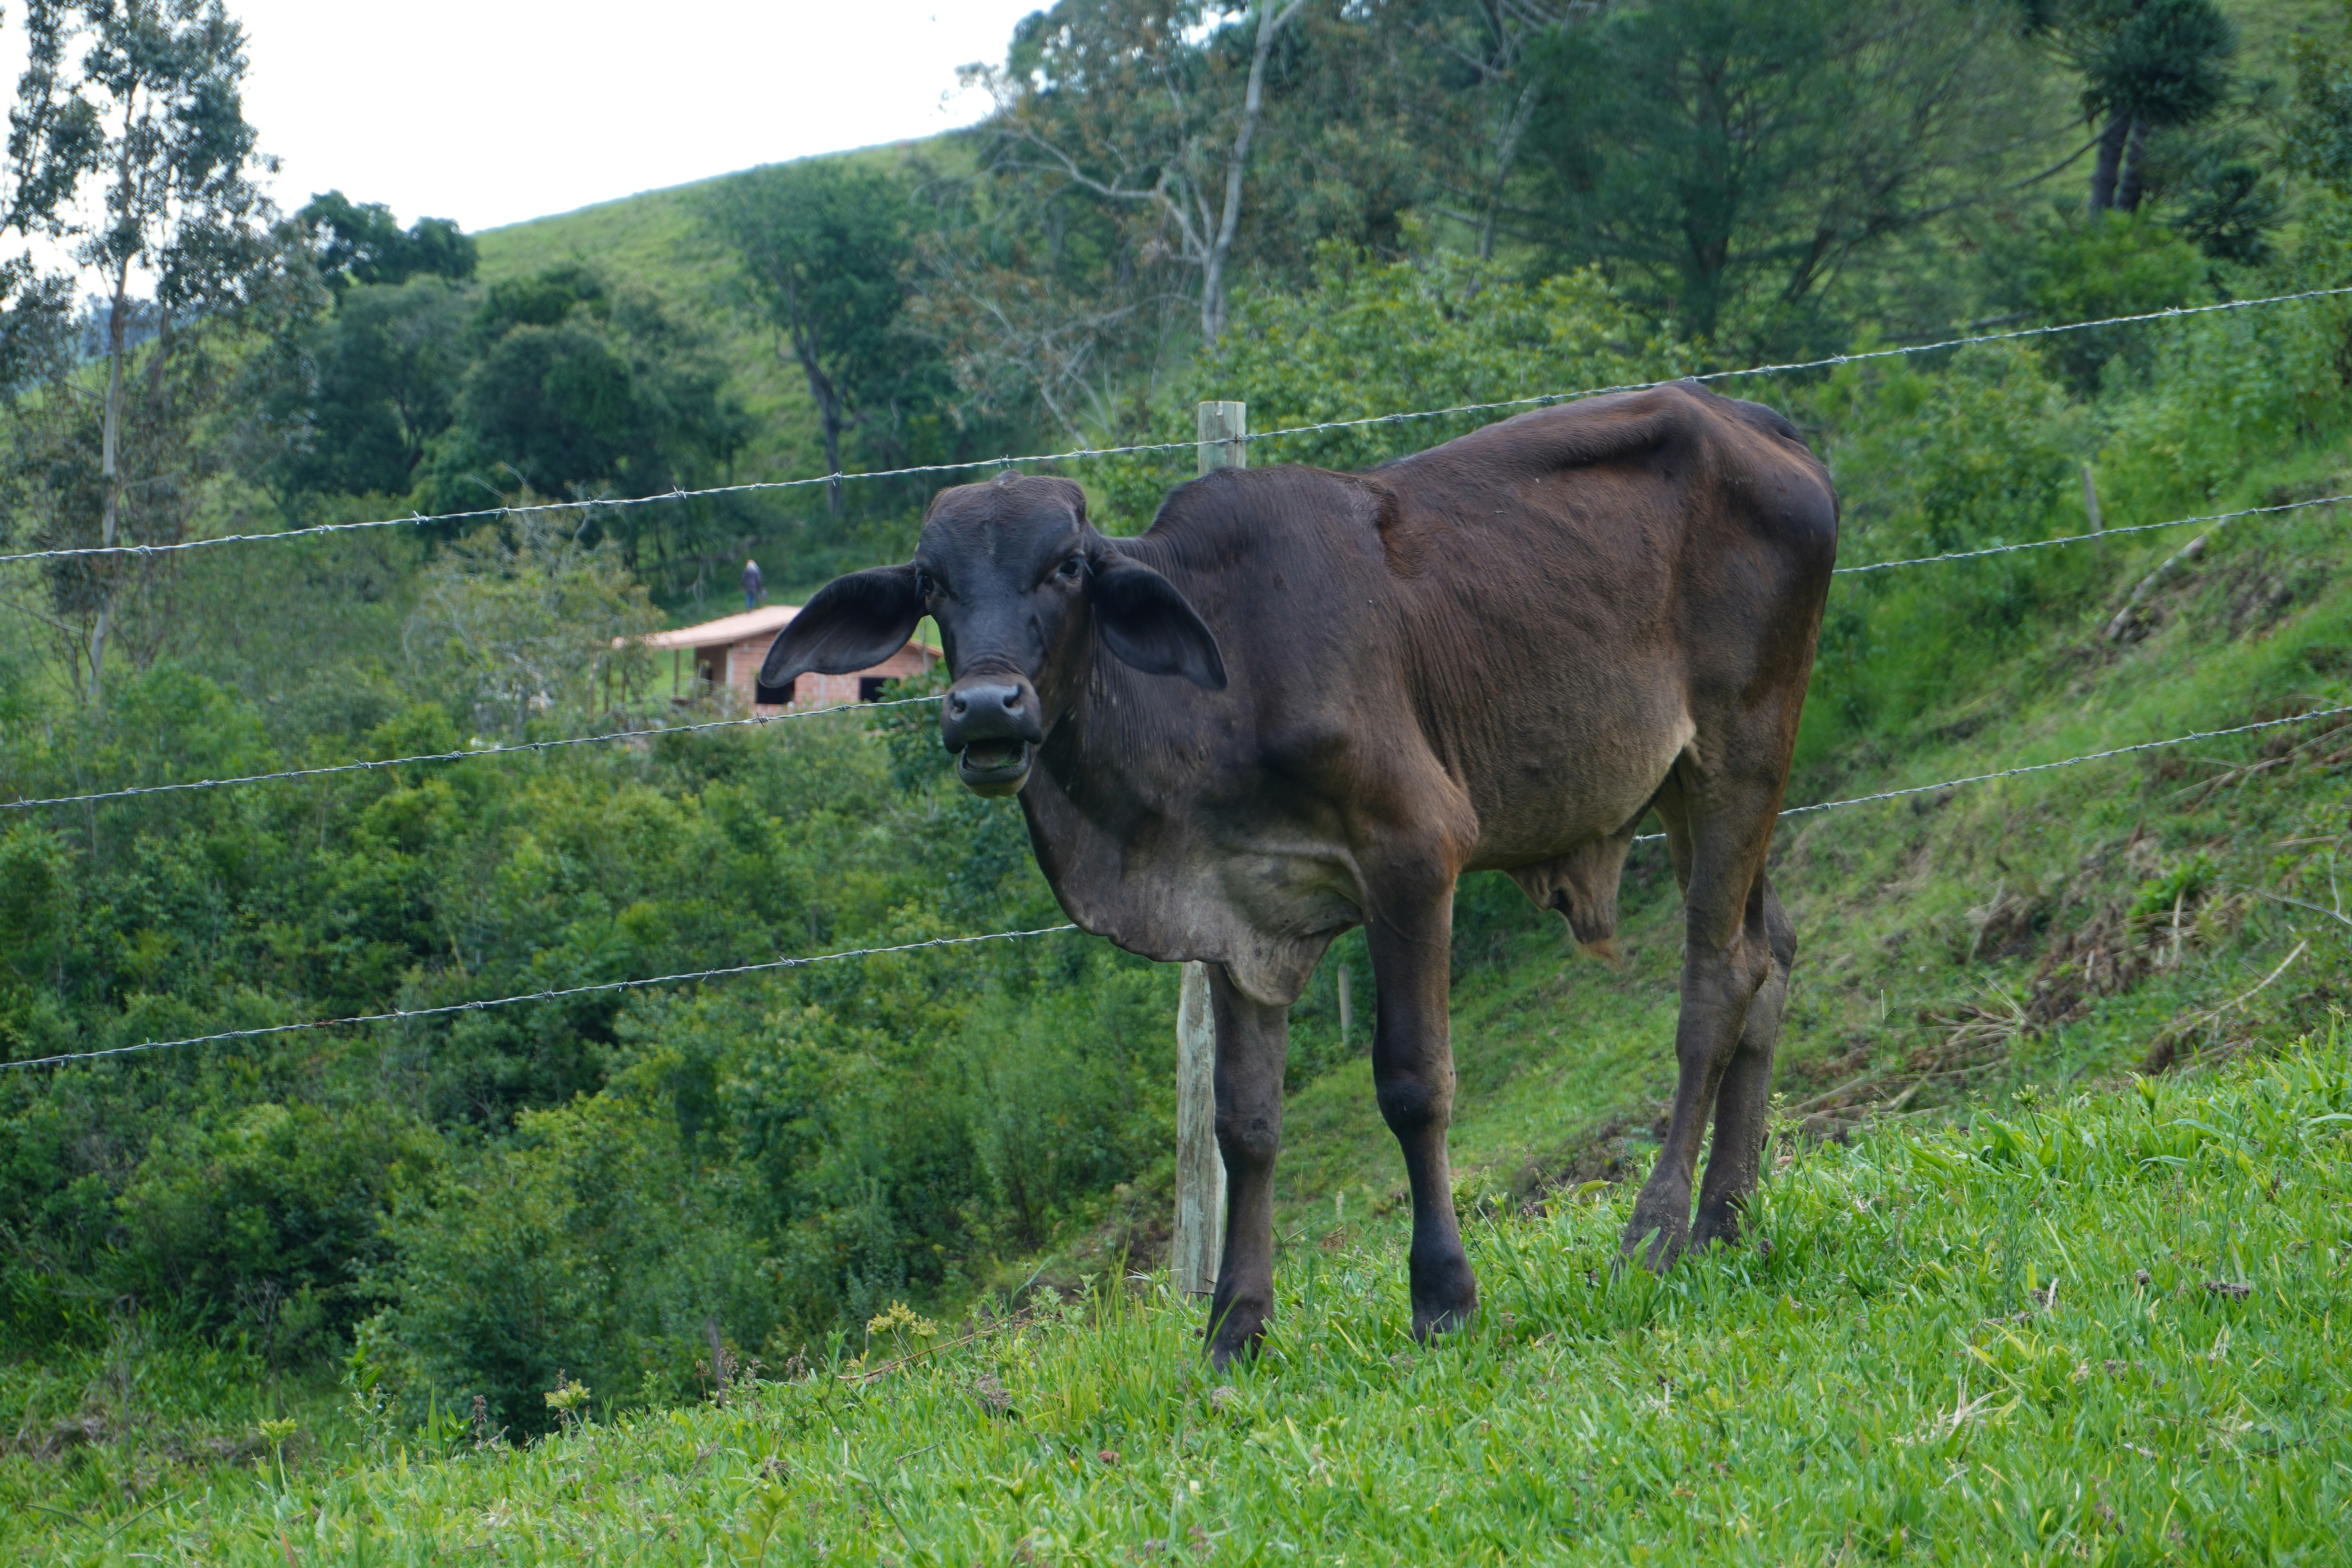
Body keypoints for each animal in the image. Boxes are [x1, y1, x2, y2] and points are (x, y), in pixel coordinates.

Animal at [764, 381, 1838, 1367]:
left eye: (1066, 565)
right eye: (931, 581)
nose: (987, 707)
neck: (1221, 683)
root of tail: (1755, 423)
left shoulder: (1415, 853)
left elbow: (1412, 1081)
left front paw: (1443, 1297)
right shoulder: (1234, 912)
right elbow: (1245, 1122)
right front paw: (1234, 1325)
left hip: (1744, 746)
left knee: (1717, 978)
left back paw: (1653, 1232)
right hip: (1684, 783)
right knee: (1771, 949)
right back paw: (1726, 1220)